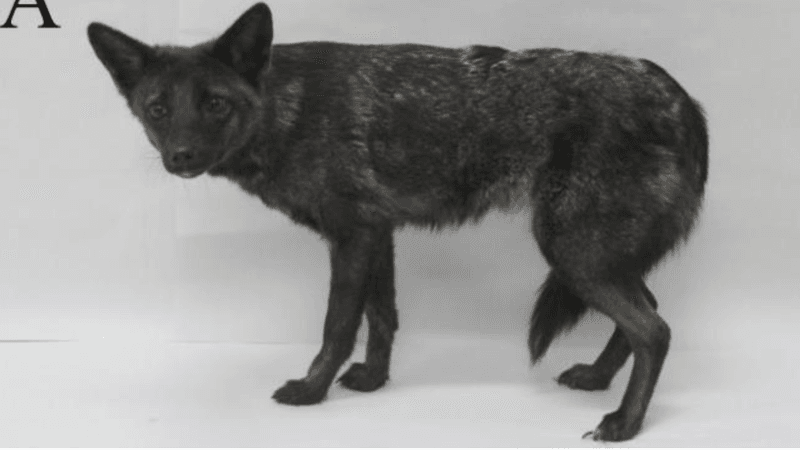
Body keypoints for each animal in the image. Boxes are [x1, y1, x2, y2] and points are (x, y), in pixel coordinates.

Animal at [87, 2, 708, 442]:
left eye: (215, 104)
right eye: (157, 109)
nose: (181, 157)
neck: (291, 108)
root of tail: (681, 96)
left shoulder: (351, 236)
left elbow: (337, 324)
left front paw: (311, 390)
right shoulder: (376, 233)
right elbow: (382, 316)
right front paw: (371, 381)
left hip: (573, 252)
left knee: (654, 329)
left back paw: (624, 424)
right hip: (593, 257)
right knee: (647, 313)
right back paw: (598, 381)